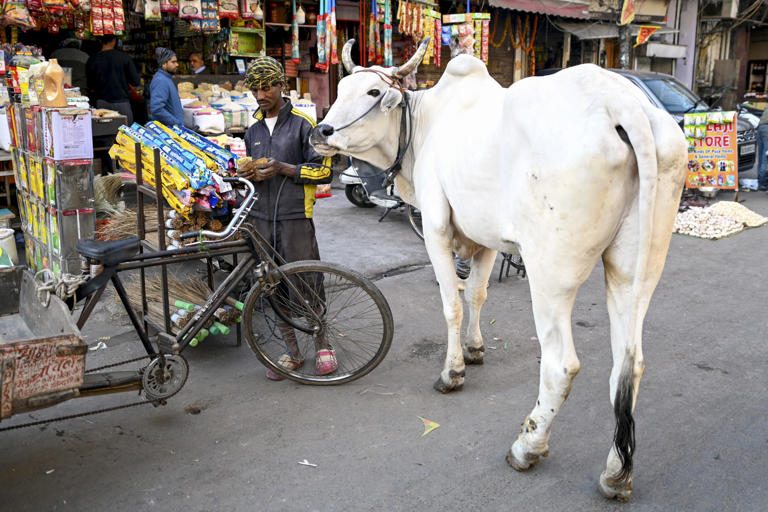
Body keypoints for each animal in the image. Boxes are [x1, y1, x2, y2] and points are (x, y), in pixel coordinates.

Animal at [312, 39, 688, 500]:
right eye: (341, 87)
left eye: (372, 92)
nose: (321, 131)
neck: (426, 124)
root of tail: (622, 103)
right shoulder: (485, 237)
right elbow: (477, 293)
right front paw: (475, 350)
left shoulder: (436, 226)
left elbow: (452, 304)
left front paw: (453, 371)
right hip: (637, 268)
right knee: (628, 365)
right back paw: (616, 474)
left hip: (550, 274)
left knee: (561, 365)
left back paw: (527, 447)